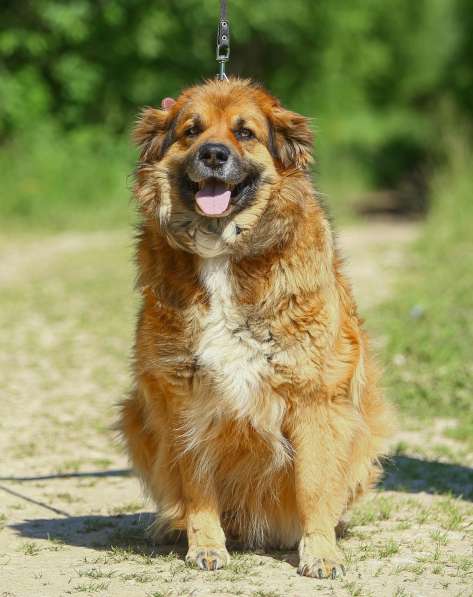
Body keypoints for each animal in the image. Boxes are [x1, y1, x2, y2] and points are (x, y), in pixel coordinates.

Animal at [119, 77, 394, 576]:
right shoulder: (184, 395)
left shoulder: (315, 396)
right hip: (135, 413)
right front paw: (205, 545)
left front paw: (320, 551)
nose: (213, 154)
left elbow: (314, 485)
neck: (222, 253)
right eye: (192, 130)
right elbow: (197, 483)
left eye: (244, 132)